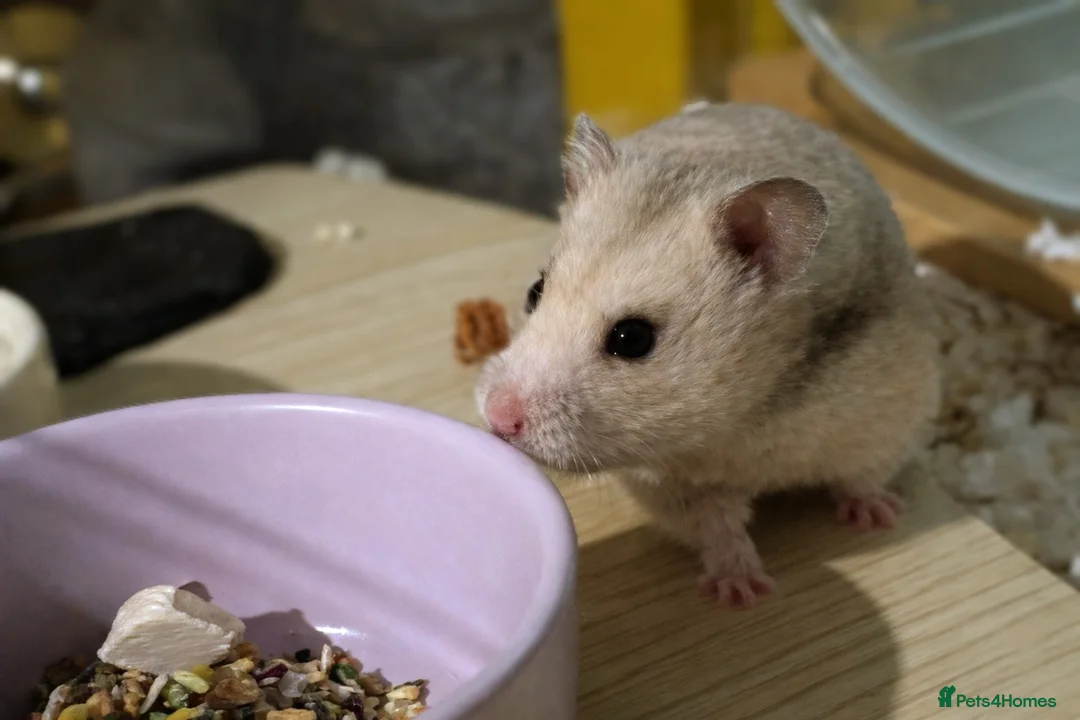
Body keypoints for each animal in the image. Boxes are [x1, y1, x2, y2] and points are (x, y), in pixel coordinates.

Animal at [474, 102, 941, 609]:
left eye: (632, 339)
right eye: (535, 291)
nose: (497, 418)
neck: (744, 414)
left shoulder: (889, 417)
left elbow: (862, 475)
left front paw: (881, 517)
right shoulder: (674, 483)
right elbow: (717, 528)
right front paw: (743, 594)